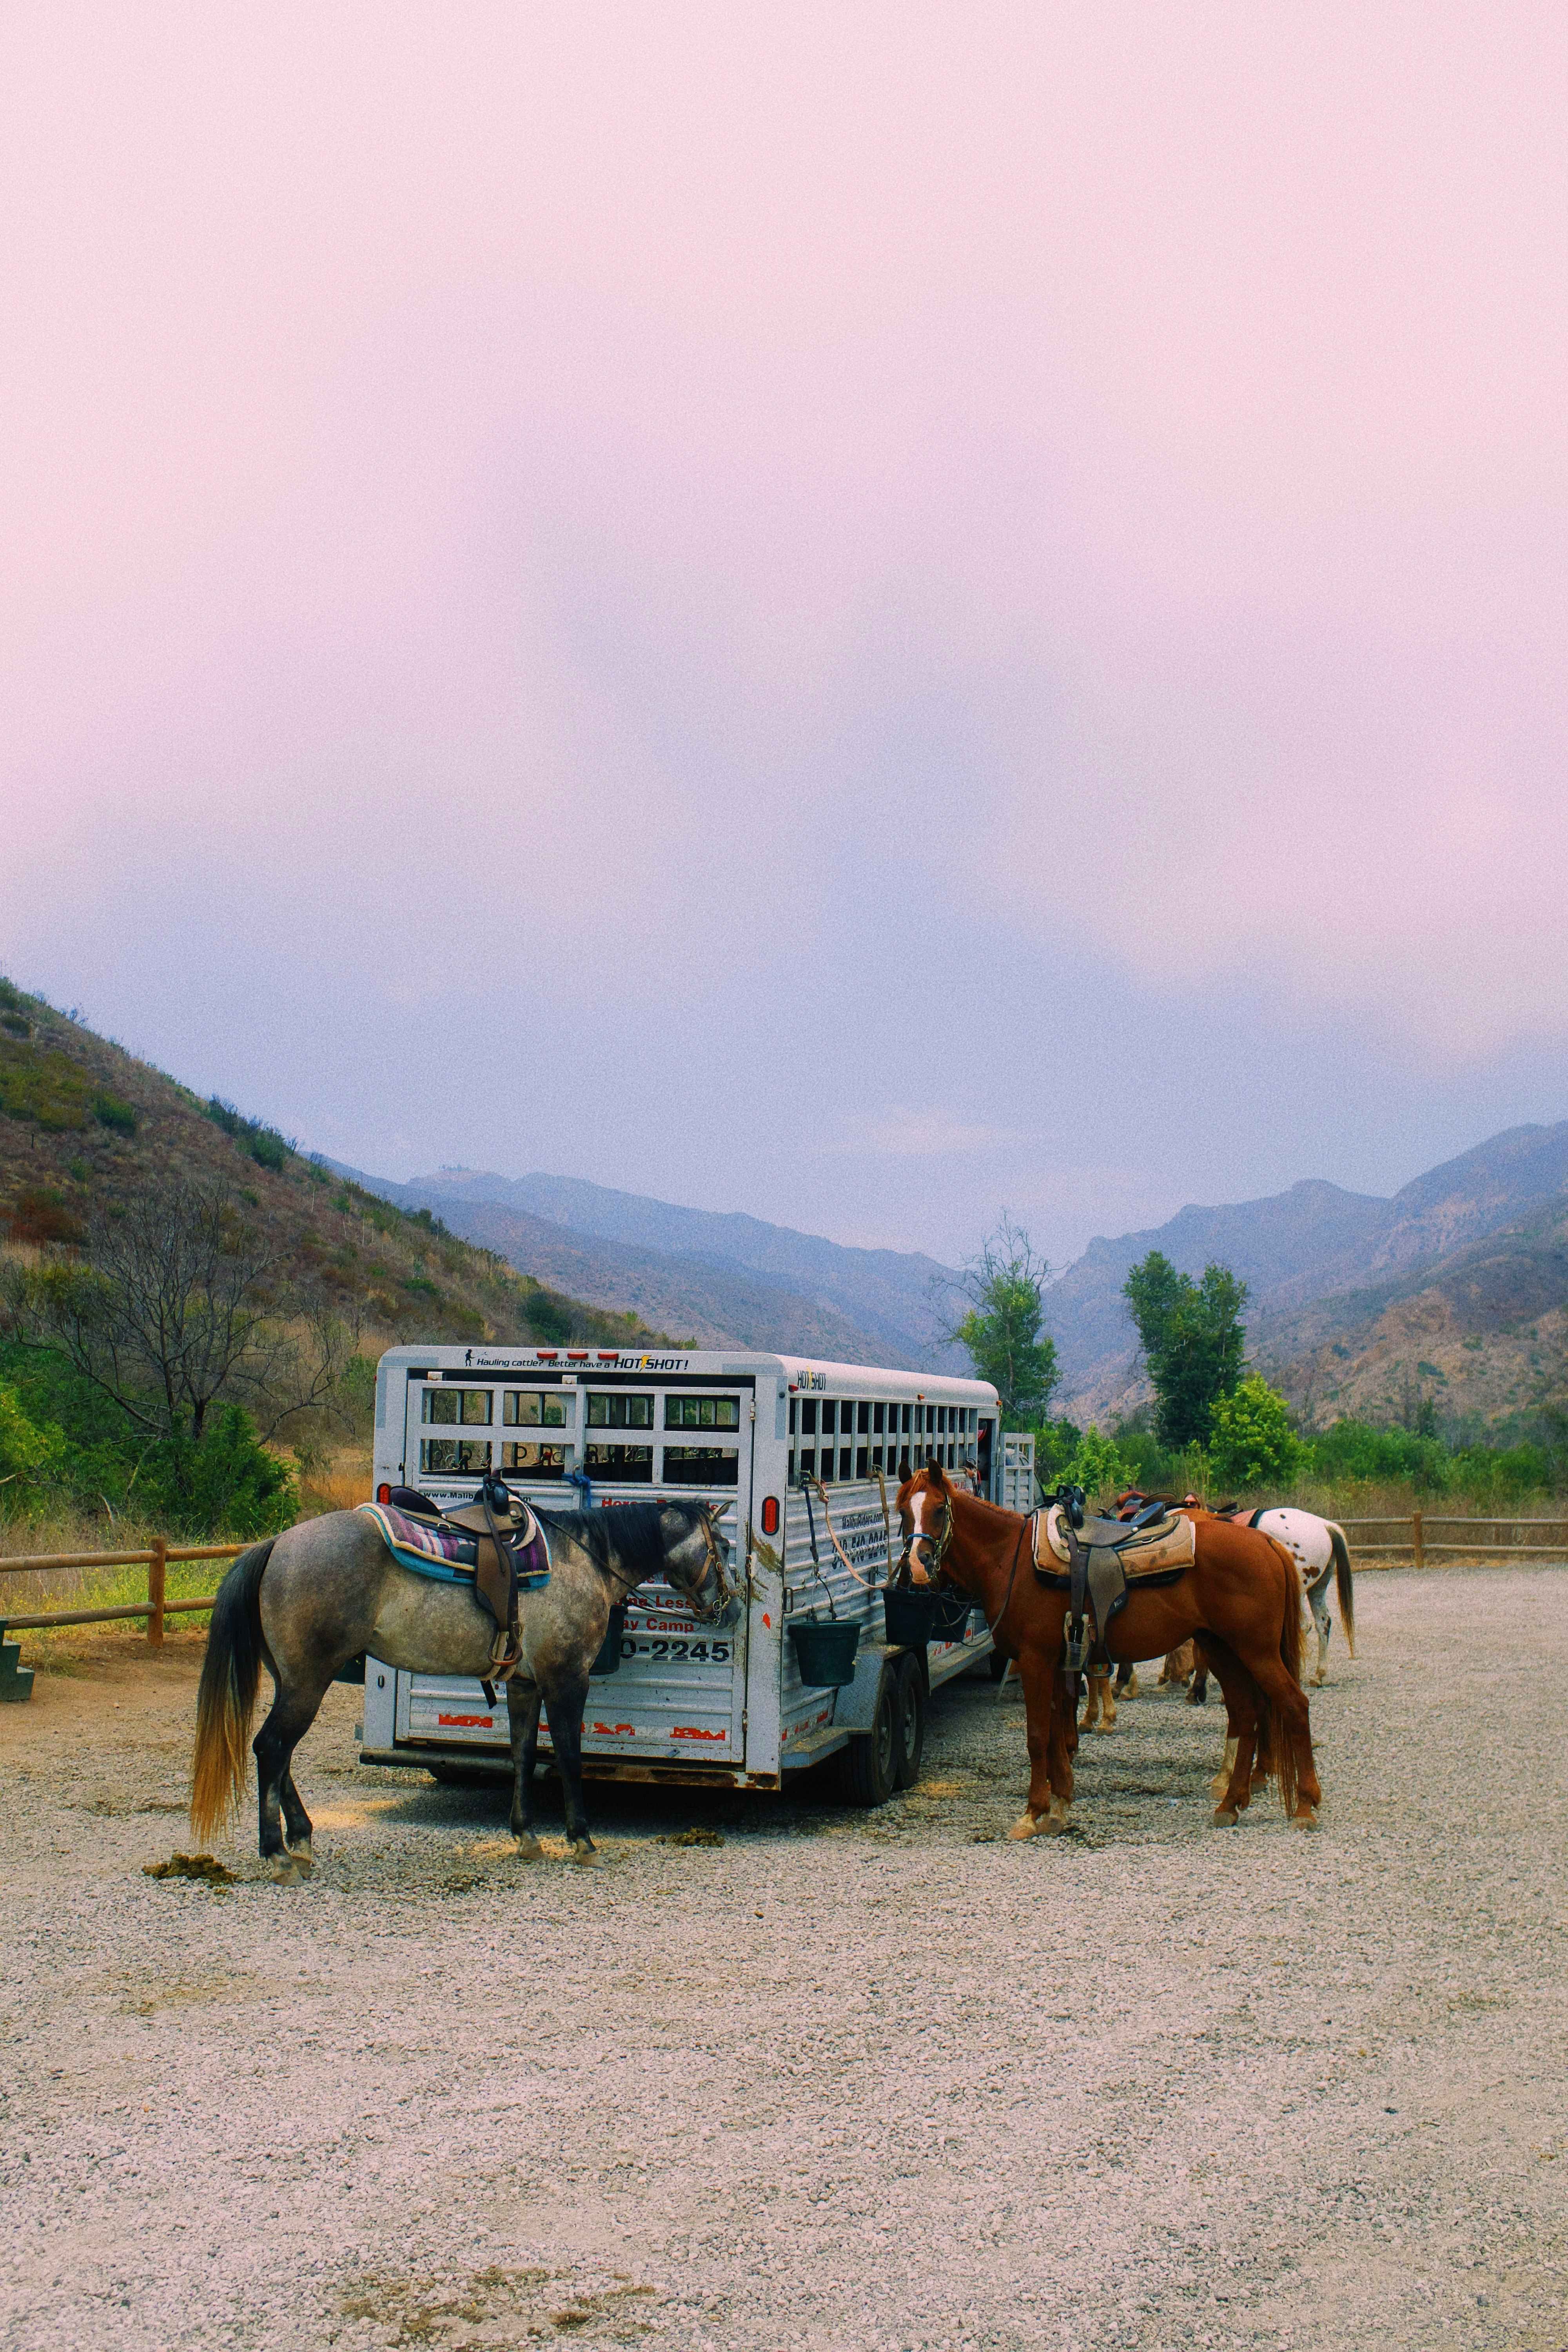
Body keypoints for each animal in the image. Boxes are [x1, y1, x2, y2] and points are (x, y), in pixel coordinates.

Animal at [188, 1505, 738, 1872]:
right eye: (726, 1547)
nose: (731, 1608)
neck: (580, 1562)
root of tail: (277, 1545)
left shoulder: (524, 1685)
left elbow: (523, 1755)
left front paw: (526, 1836)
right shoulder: (566, 1680)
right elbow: (567, 1756)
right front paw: (581, 1839)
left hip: (294, 1681)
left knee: (279, 1754)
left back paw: (300, 1840)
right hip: (307, 1681)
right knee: (271, 1747)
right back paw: (277, 1853)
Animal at [893, 1468, 1326, 1835]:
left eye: (938, 1509)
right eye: (902, 1511)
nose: (918, 1565)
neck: (1011, 1560)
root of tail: (1266, 1542)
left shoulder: (1035, 1661)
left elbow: (1038, 1736)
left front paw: (1032, 1813)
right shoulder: (1056, 1663)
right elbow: (1057, 1732)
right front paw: (1059, 1805)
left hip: (1257, 1652)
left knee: (1293, 1705)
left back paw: (1305, 1806)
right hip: (1223, 1649)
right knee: (1246, 1712)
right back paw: (1231, 1803)